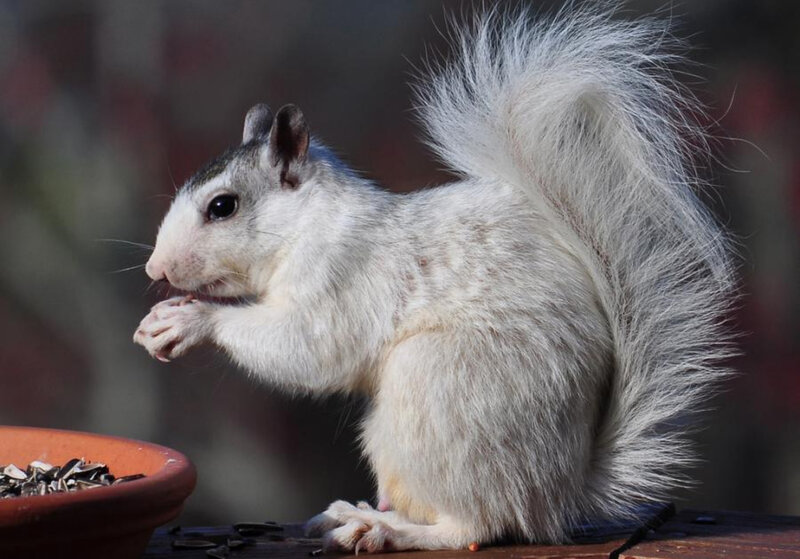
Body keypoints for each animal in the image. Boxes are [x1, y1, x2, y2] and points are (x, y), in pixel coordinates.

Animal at [133, 6, 736, 552]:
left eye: (223, 206)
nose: (155, 271)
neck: (308, 222)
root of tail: (561, 492)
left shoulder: (344, 276)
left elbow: (311, 347)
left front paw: (191, 321)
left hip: (439, 391)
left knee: (474, 526)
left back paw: (383, 528)